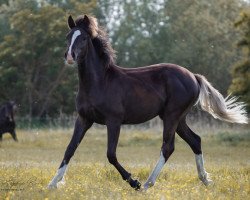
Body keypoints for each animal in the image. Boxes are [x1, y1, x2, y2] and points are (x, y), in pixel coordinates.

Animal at [47, 14, 247, 190]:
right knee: (195, 141)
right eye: (68, 37)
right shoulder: (84, 119)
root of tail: (194, 77)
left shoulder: (114, 121)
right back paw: (205, 180)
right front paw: (52, 184)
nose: (70, 56)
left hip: (172, 116)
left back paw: (146, 185)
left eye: (83, 38)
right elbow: (69, 149)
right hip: (177, 118)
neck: (99, 82)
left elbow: (111, 154)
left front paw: (133, 182)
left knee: (168, 147)